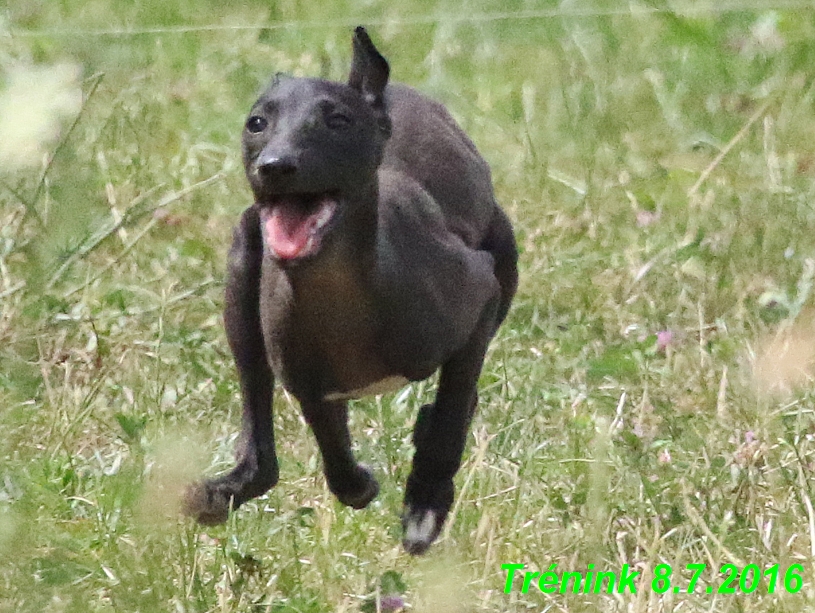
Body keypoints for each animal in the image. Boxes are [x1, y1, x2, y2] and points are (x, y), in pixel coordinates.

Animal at [184, 26, 516, 556]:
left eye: (338, 120)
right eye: (257, 123)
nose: (276, 166)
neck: (341, 291)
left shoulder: (481, 293)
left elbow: (451, 410)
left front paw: (424, 504)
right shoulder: (313, 386)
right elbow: (341, 470)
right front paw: (365, 483)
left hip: (504, 262)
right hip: (241, 281)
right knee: (261, 449)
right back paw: (223, 491)